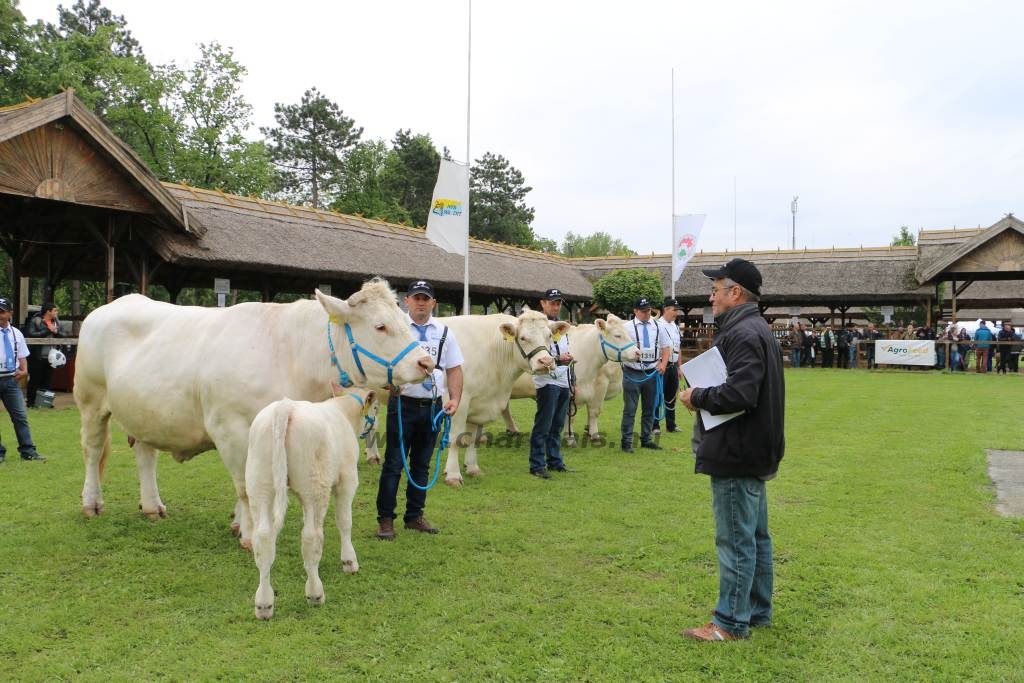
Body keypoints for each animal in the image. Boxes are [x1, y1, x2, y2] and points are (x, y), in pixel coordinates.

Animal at [74, 276, 430, 544]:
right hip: (90, 400)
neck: (293, 355)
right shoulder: (229, 427)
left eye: (405, 320)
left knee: (145, 454)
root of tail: (116, 303)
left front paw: (241, 523)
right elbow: (246, 485)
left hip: (145, 410)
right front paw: (249, 533)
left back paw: (151, 506)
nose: (426, 362)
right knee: (92, 450)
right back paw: (91, 503)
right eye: (381, 326)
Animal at [245, 389, 378, 618]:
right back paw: (315, 593)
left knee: (263, 539)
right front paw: (349, 561)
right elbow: (344, 521)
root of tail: (286, 406)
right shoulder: (348, 480)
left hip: (258, 483)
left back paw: (264, 604)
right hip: (315, 486)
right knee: (311, 537)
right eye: (376, 409)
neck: (343, 411)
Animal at [434, 309, 565, 485]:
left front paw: (473, 468)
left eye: (549, 335)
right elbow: (456, 438)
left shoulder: (480, 403)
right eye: (523, 338)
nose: (546, 361)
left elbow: (474, 438)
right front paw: (453, 475)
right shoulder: (459, 402)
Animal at [499, 317, 634, 446]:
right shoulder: (595, 386)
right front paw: (577, 437)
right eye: (618, 335)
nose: (637, 353)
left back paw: (513, 430)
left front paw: (588, 431)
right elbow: (590, 412)